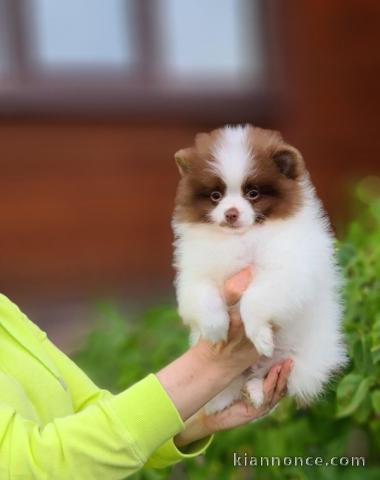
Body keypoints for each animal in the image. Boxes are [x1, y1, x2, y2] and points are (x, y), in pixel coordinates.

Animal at [172, 124, 348, 412]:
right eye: (216, 196)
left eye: (252, 193)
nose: (231, 213)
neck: (241, 237)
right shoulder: (196, 272)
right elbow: (203, 295)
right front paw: (215, 329)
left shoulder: (288, 269)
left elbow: (254, 299)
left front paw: (260, 335)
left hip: (305, 358)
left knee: (281, 373)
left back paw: (255, 389)